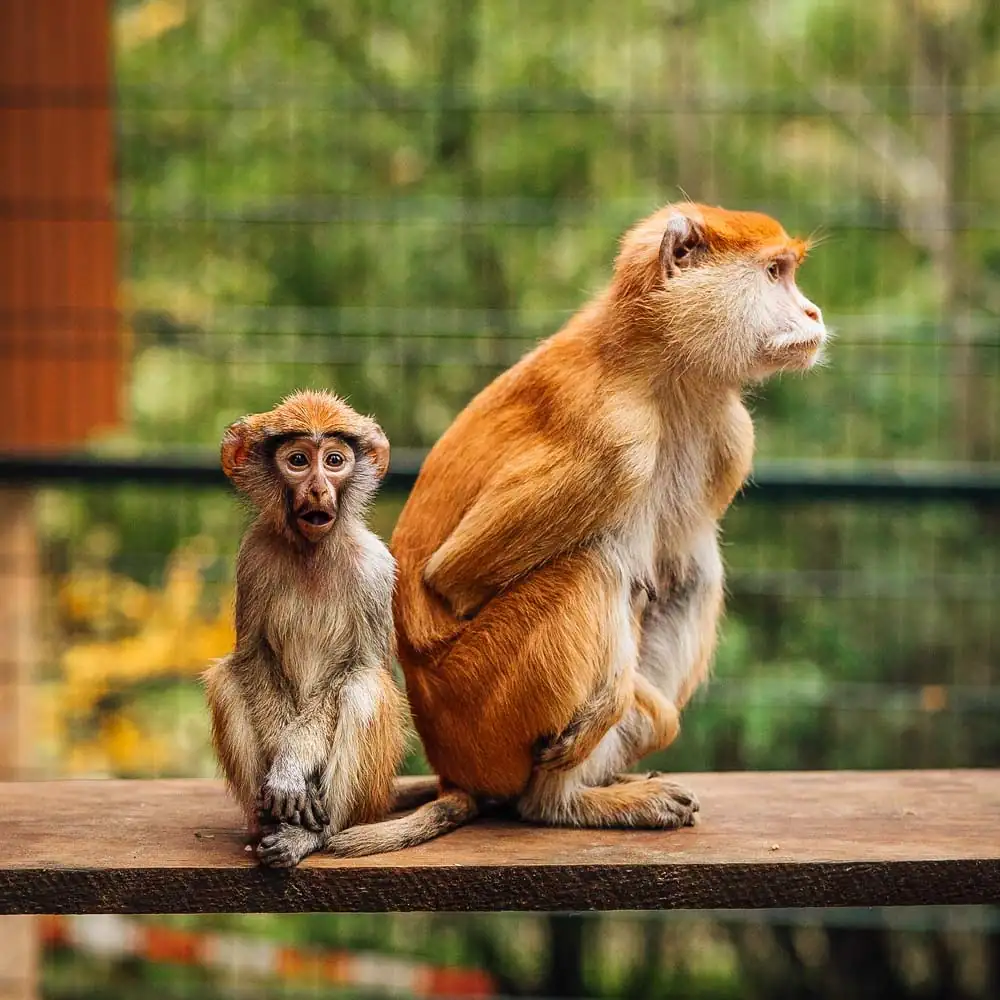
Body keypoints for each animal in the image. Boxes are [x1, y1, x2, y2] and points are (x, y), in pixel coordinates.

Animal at [203, 390, 410, 868]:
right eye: (298, 460)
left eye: (334, 460)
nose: (318, 489)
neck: (313, 553)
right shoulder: (254, 557)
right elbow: (252, 659)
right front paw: (282, 779)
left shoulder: (374, 568)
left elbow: (361, 668)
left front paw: (290, 770)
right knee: (227, 679)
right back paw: (266, 824)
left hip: (373, 791)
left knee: (364, 687)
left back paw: (311, 835)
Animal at [322, 199, 828, 856]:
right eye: (773, 273)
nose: (813, 312)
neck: (659, 363)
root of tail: (453, 766)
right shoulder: (614, 437)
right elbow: (451, 579)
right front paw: (624, 704)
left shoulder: (728, 435)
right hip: (483, 707)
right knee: (593, 566)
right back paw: (557, 801)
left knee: (692, 572)